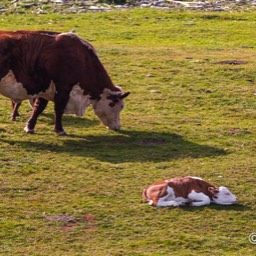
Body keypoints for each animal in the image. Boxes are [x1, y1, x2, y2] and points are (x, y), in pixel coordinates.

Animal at [0, 30, 129, 135]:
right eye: (117, 106)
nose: (117, 127)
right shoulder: (63, 88)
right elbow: (59, 109)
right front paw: (60, 129)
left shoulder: (46, 88)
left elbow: (39, 108)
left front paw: (30, 127)